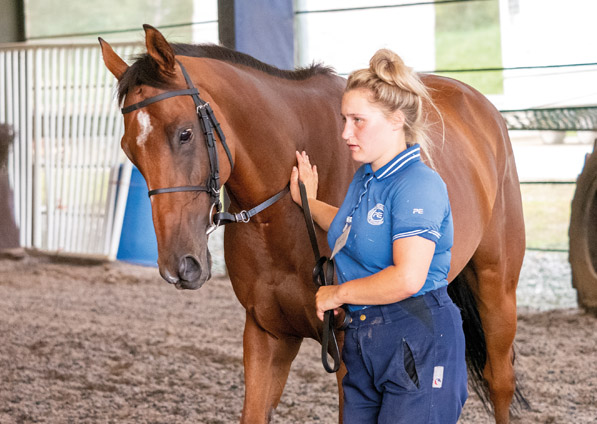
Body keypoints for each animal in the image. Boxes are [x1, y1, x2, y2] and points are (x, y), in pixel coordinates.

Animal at [98, 24, 528, 422]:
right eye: (129, 150)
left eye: (185, 133)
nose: (180, 267)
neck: (283, 216)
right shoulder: (266, 334)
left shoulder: (346, 354)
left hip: (497, 288)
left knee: (499, 380)